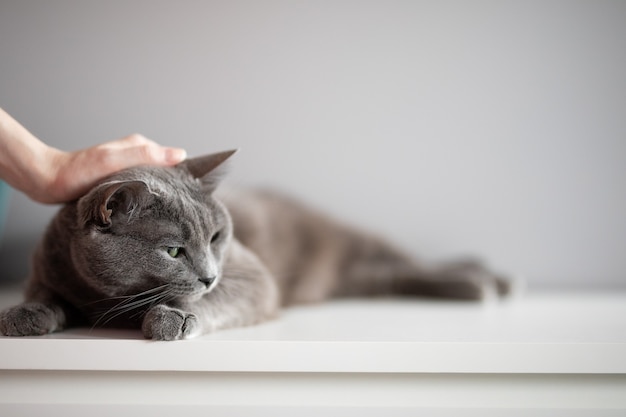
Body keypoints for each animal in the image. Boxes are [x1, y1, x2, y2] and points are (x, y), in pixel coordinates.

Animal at [0, 151, 508, 340]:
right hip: (358, 277)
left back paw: (487, 280)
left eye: (216, 237)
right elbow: (45, 292)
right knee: (395, 275)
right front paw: (24, 314)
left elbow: (217, 299)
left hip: (354, 240)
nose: (209, 275)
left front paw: (171, 317)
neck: (108, 300)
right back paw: (481, 284)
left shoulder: (252, 274)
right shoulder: (49, 265)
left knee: (410, 261)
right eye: (173, 251)